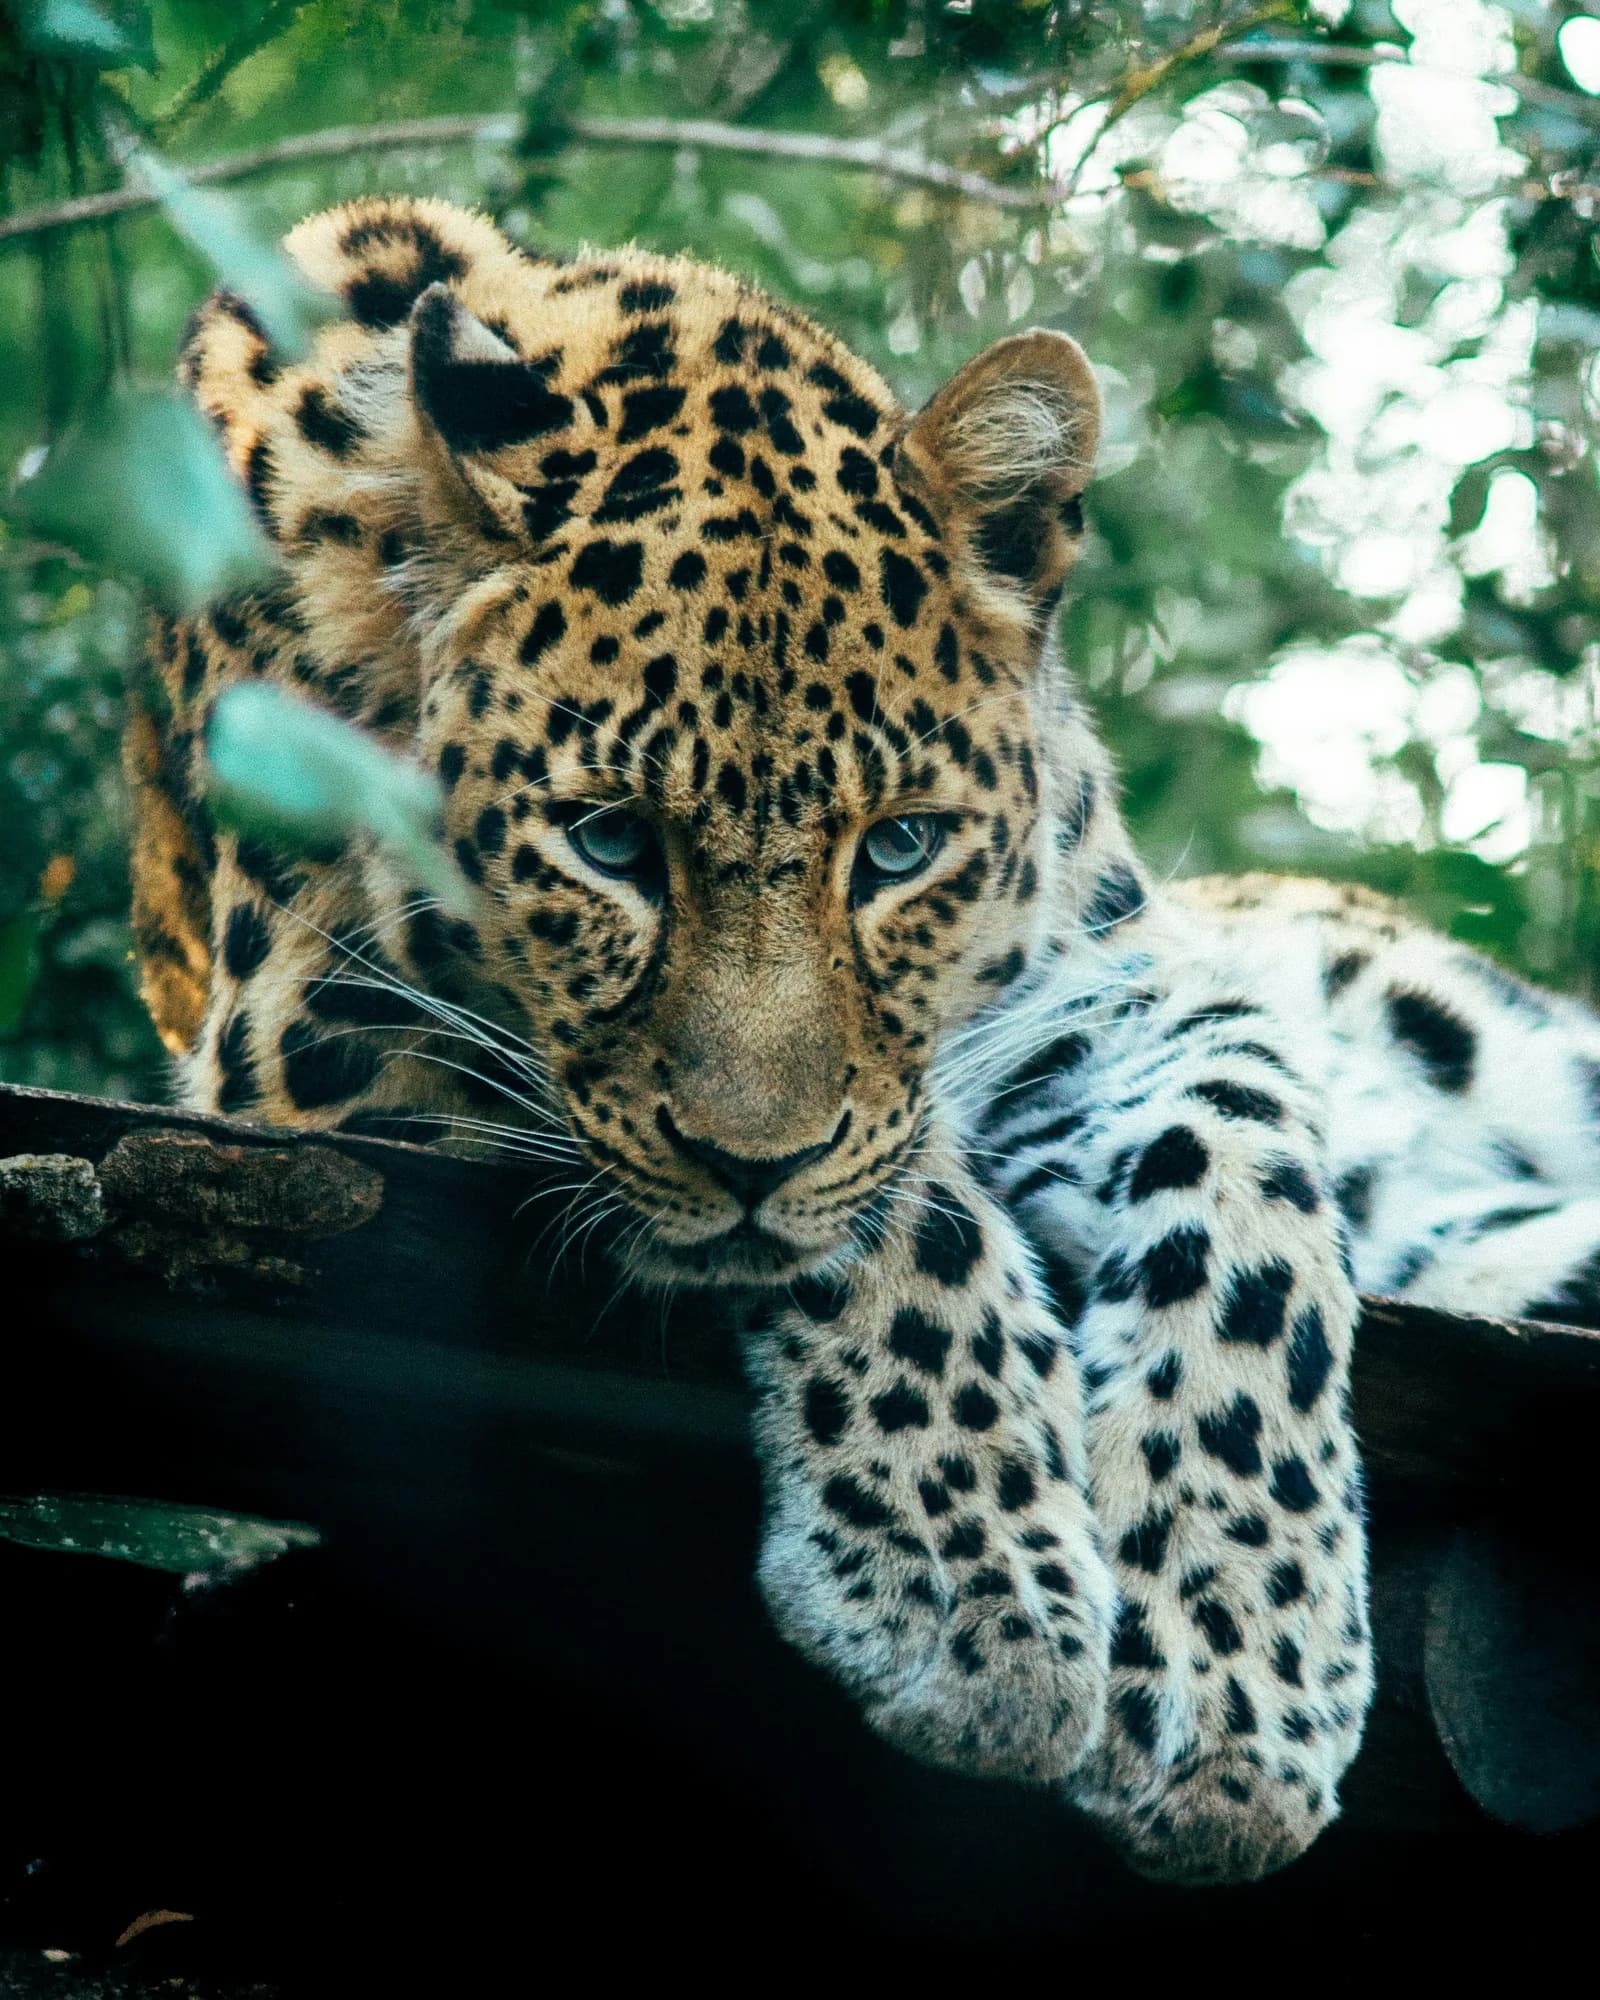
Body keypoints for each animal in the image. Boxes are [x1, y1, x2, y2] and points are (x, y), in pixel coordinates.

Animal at [123, 194, 1600, 1888]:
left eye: (899, 848)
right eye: (609, 842)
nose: (749, 1162)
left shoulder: (1099, 987)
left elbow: (1242, 1174)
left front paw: (1235, 1658)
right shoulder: (312, 1031)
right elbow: (900, 1204)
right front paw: (981, 1603)